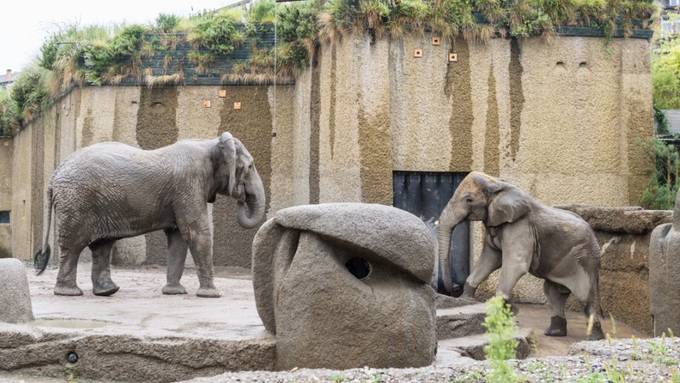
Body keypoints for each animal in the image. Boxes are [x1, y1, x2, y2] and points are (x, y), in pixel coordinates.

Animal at [33, 134, 266, 298]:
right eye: (250, 166)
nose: (241, 196)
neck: (211, 142)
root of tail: (54, 175)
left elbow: (178, 237)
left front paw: (175, 293)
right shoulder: (188, 185)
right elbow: (196, 233)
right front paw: (212, 295)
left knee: (101, 245)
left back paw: (107, 291)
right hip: (77, 202)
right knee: (74, 245)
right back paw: (69, 293)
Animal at [436, 172, 604, 340]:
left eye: (469, 200)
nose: (454, 289)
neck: (496, 183)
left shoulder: (520, 226)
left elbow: (515, 264)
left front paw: (501, 310)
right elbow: (489, 260)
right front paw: (465, 299)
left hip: (585, 257)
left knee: (585, 295)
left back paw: (593, 339)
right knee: (553, 293)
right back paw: (554, 333)